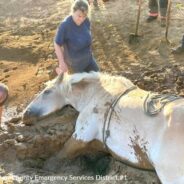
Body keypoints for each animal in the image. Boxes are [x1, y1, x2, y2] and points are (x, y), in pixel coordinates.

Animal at [23, 72, 184, 184]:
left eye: (47, 92)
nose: (25, 115)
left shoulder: (81, 135)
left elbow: (62, 153)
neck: (97, 94)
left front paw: (46, 166)